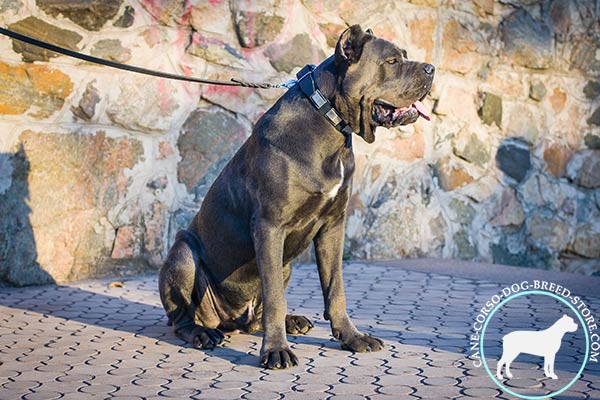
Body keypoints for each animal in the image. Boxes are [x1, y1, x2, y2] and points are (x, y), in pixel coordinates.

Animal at [157, 24, 434, 368]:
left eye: (405, 56)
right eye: (393, 61)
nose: (431, 69)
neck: (329, 124)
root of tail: (229, 319)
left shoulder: (333, 225)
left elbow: (335, 287)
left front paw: (352, 337)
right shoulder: (269, 226)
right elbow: (276, 296)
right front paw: (276, 350)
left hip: (284, 264)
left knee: (256, 316)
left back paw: (292, 321)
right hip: (183, 255)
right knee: (182, 317)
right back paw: (203, 333)